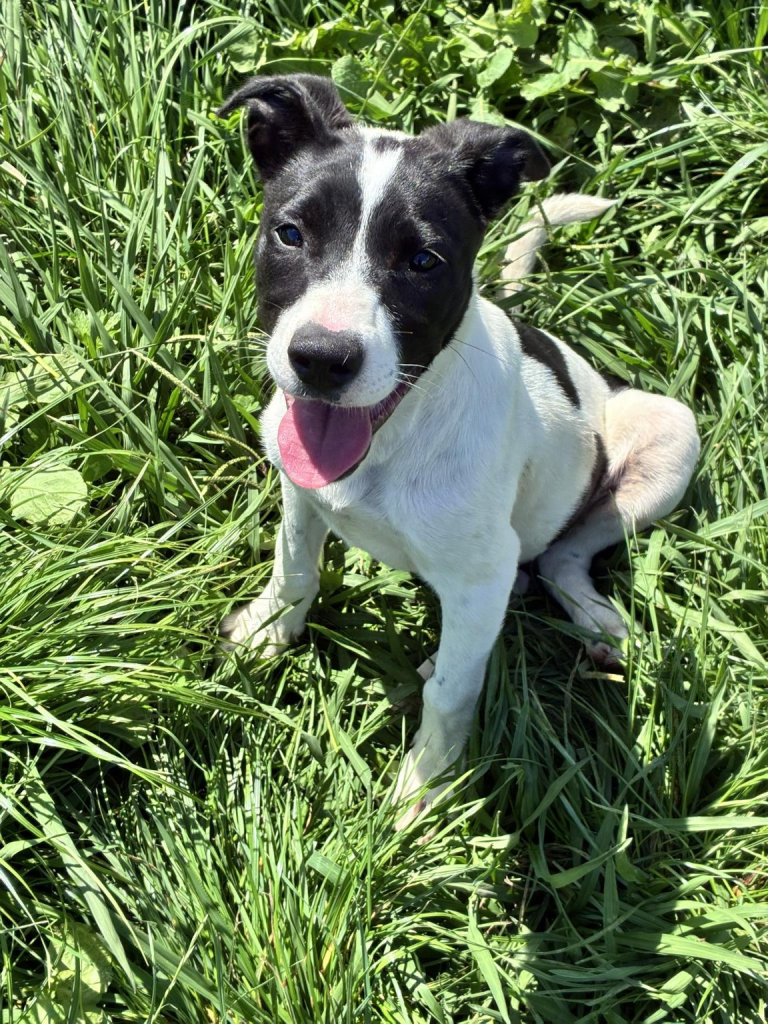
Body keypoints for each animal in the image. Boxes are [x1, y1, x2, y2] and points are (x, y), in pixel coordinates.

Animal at [217, 74, 700, 828]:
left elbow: (450, 693)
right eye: (290, 234)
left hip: (670, 433)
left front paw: (424, 791)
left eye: (423, 262)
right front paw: (268, 634)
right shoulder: (299, 489)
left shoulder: (479, 579)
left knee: (560, 557)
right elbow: (293, 571)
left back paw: (594, 622)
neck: (391, 440)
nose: (321, 360)